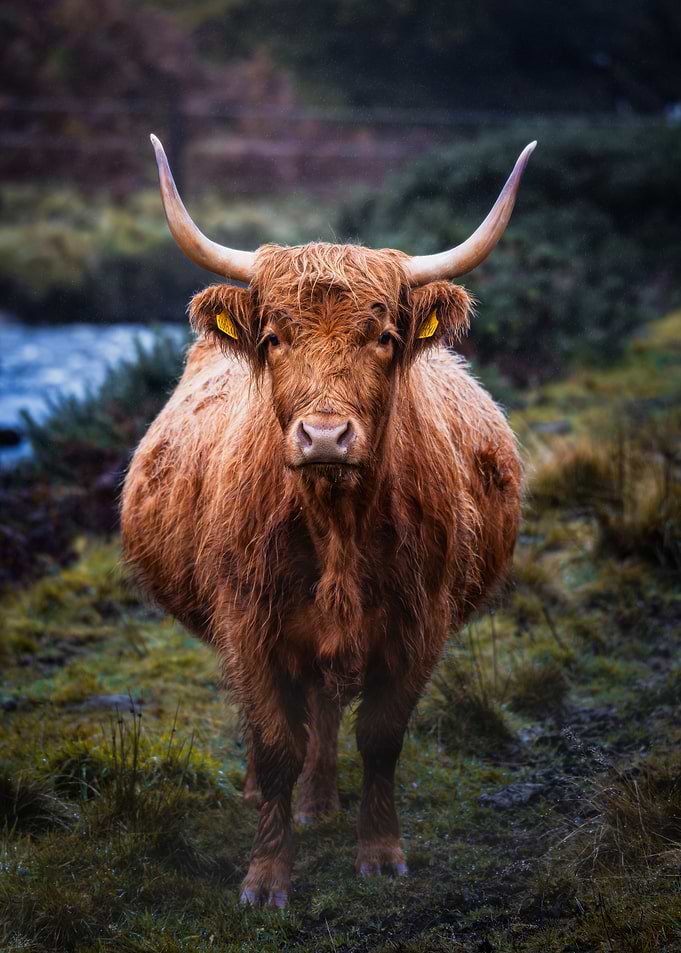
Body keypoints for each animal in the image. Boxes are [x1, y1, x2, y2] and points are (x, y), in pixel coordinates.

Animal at [120, 135, 535, 908]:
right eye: (274, 337)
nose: (323, 436)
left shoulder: (418, 621)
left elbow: (379, 735)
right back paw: (273, 797)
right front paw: (265, 877)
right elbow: (275, 740)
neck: (335, 522)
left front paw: (380, 852)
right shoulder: (248, 621)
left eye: (384, 335)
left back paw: (320, 802)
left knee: (324, 706)